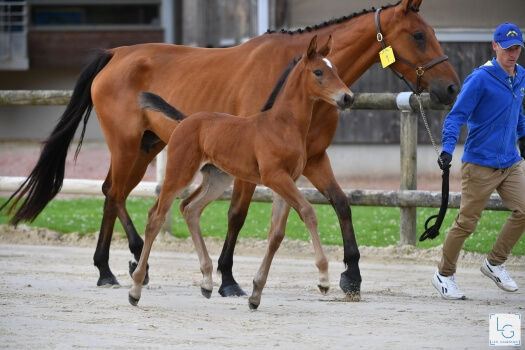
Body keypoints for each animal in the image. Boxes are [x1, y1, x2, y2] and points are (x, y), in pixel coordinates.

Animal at [129, 35, 354, 308]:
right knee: (156, 217)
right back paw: (135, 289)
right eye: (319, 71)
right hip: (179, 172)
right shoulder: (275, 177)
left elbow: (277, 233)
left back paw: (207, 282)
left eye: (337, 69)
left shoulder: (287, 181)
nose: (347, 98)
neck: (283, 125)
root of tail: (186, 120)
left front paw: (256, 294)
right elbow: (309, 212)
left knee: (190, 208)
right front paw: (323, 279)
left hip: (217, 179)